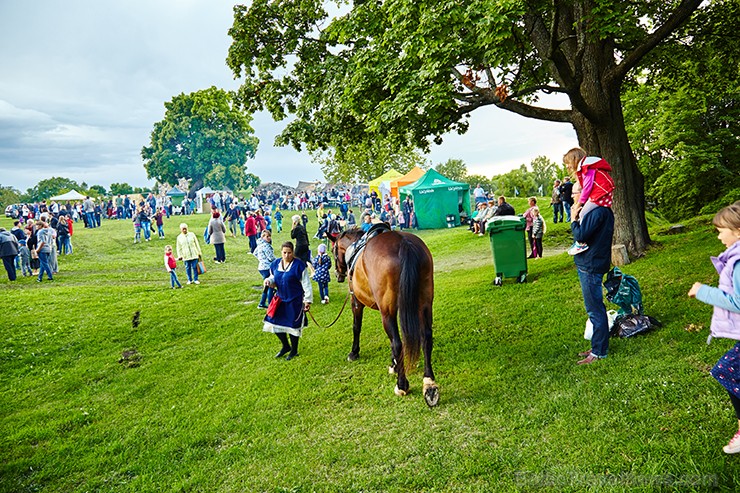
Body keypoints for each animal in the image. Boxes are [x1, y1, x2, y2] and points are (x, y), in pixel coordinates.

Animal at [330, 225, 440, 406]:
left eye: (333, 251)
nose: (338, 275)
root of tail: (403, 243)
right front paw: (394, 363)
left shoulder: (356, 301)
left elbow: (356, 327)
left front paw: (354, 352)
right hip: (424, 303)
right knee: (426, 337)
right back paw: (429, 383)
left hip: (387, 310)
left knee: (397, 343)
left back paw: (402, 385)